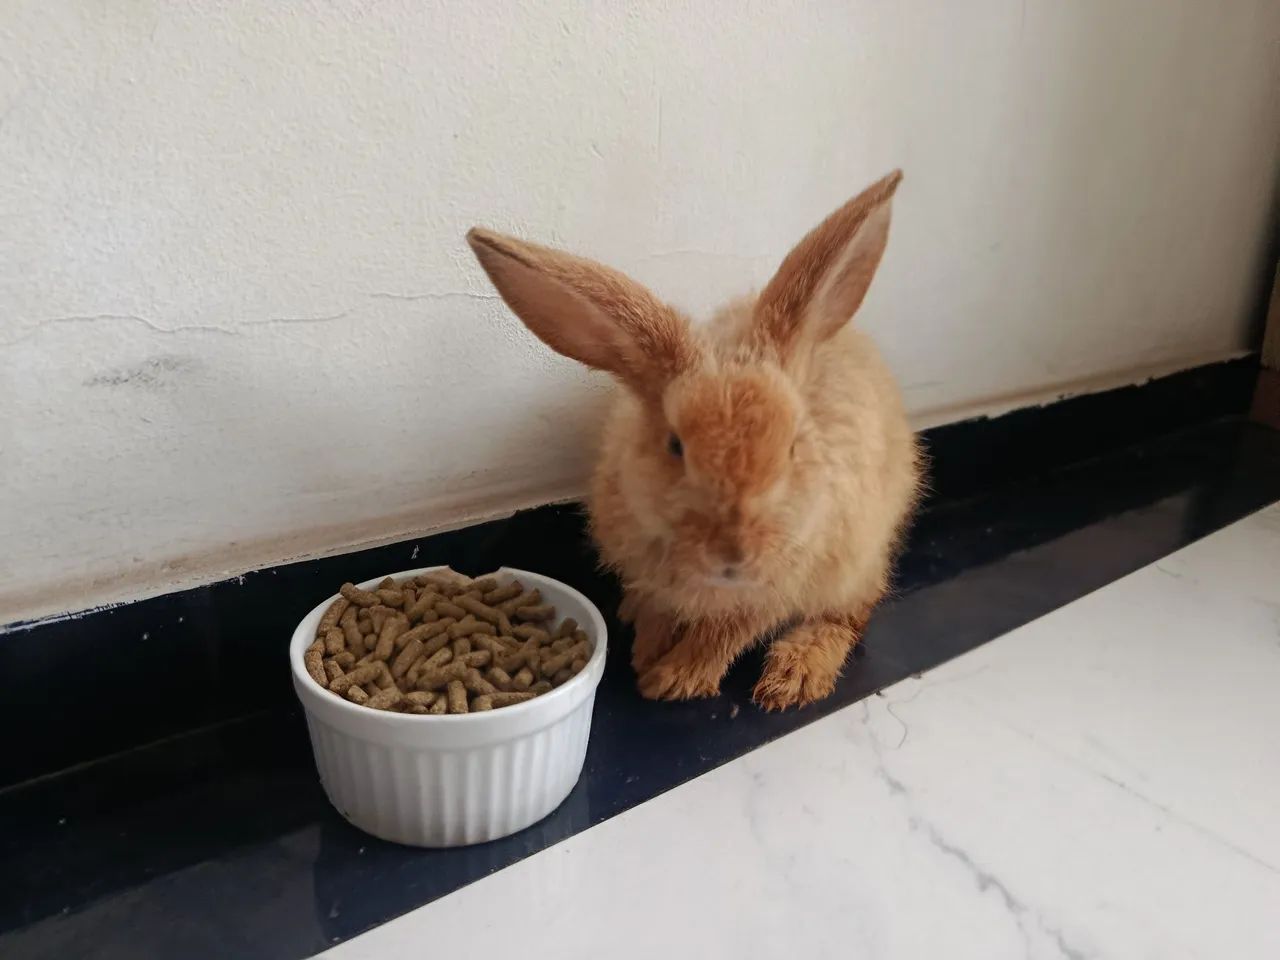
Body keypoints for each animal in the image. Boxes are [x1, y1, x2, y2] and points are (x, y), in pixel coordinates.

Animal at [466, 170, 921, 710]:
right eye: (675, 446)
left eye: (793, 447)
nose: (735, 555)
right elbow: (662, 613)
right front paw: (646, 655)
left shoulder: (774, 590)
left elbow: (721, 635)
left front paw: (671, 681)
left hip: (856, 564)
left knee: (848, 615)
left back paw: (795, 675)